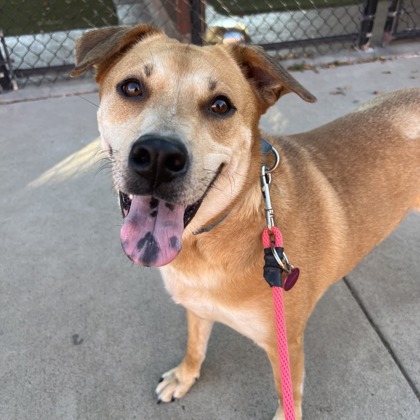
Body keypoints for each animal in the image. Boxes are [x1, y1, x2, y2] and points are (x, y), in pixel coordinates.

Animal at [71, 24, 420, 419]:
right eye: (131, 88)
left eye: (220, 106)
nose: (159, 155)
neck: (210, 239)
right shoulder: (196, 308)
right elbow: (195, 346)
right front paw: (185, 376)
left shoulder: (287, 344)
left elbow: (288, 396)